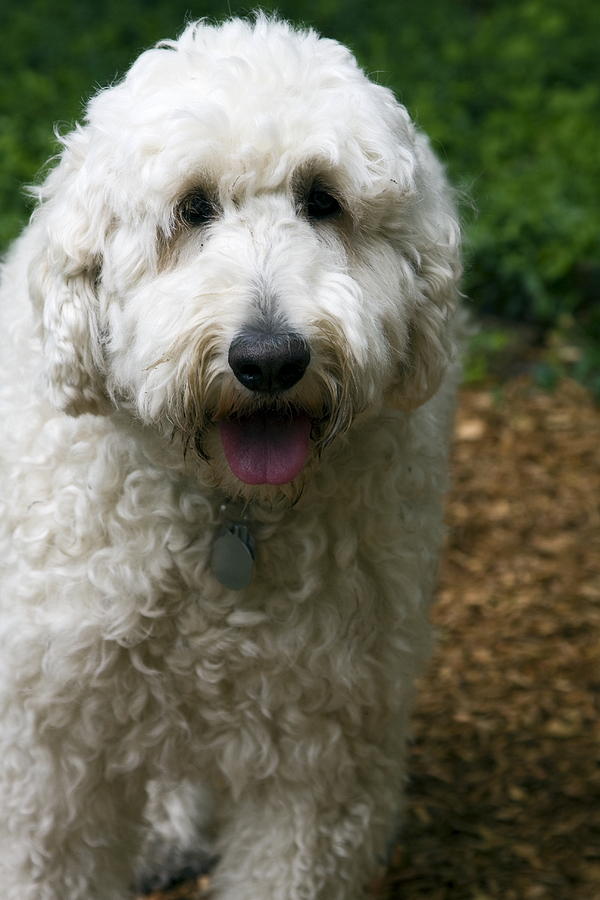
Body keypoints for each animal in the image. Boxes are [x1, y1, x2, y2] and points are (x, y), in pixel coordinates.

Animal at [0, 14, 462, 900]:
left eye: (323, 200)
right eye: (192, 208)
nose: (271, 359)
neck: (227, 513)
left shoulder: (320, 755)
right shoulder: (49, 756)